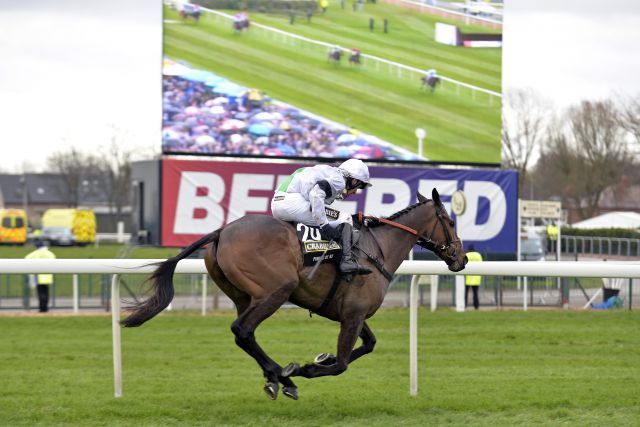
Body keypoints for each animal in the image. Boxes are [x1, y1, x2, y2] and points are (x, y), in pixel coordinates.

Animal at [122, 190, 468, 402]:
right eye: (451, 221)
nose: (461, 259)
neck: (377, 248)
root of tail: (222, 231)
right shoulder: (353, 314)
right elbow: (342, 364)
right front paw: (307, 367)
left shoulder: (351, 312)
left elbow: (368, 344)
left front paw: (321, 358)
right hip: (278, 289)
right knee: (242, 330)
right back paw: (284, 376)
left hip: (243, 297)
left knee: (245, 335)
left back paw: (276, 377)